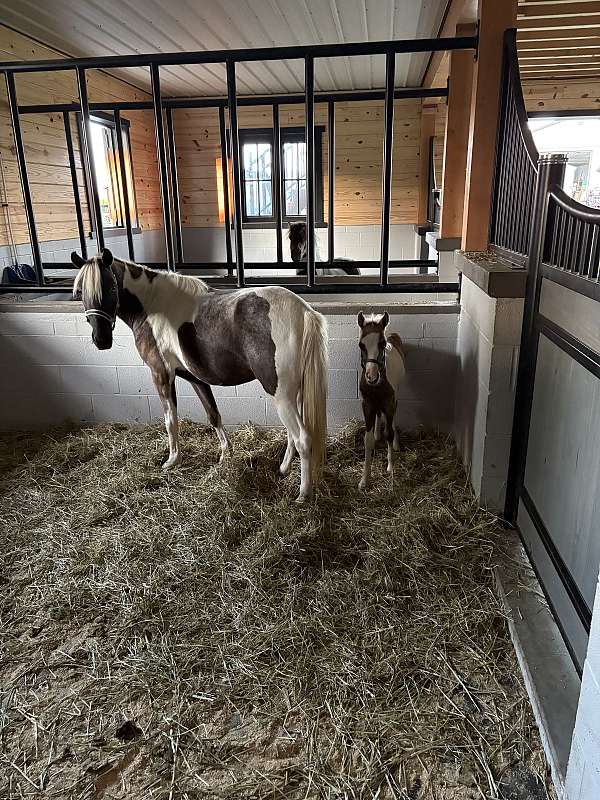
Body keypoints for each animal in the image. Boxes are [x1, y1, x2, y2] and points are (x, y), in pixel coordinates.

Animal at [71, 249, 328, 501]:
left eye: (111, 288)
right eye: (81, 291)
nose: (101, 339)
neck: (153, 305)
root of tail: (304, 312)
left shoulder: (161, 374)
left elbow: (170, 420)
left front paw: (172, 460)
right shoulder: (195, 378)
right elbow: (213, 415)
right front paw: (225, 455)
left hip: (280, 394)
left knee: (302, 438)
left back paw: (303, 494)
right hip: (290, 394)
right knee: (292, 434)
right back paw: (283, 468)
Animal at [357, 311, 405, 490]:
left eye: (382, 344)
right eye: (361, 345)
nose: (371, 377)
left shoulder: (389, 403)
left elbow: (389, 433)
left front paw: (390, 467)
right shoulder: (367, 404)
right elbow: (368, 440)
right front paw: (365, 479)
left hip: (395, 397)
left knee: (392, 420)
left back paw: (396, 443)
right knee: (380, 416)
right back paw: (378, 433)